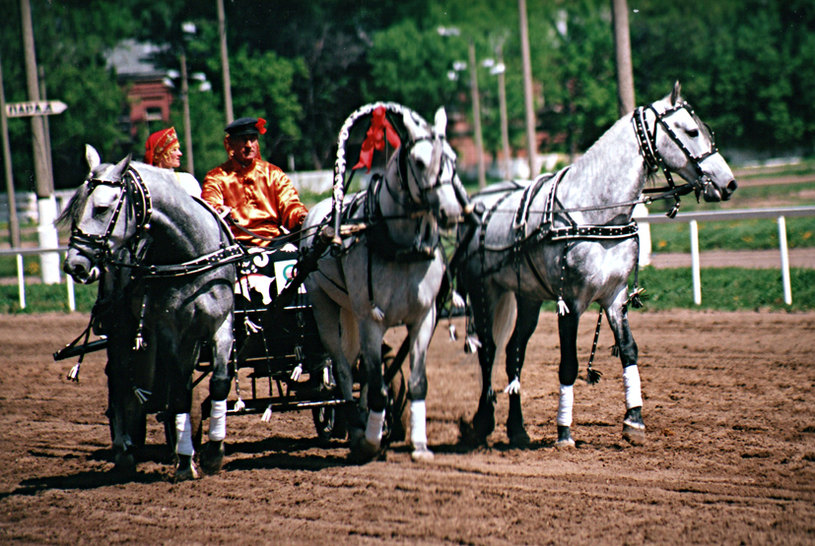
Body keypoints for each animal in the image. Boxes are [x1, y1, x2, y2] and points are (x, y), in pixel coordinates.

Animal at [57, 146, 239, 480]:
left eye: (101, 208)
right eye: (76, 211)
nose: (74, 265)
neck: (191, 255)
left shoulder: (219, 323)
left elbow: (218, 381)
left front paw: (212, 453)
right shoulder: (170, 330)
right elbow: (178, 392)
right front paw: (185, 462)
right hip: (120, 327)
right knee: (118, 378)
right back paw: (125, 449)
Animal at [300, 103, 466, 460]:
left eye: (453, 158)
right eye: (419, 162)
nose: (452, 212)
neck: (400, 247)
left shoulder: (423, 318)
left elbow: (413, 383)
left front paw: (419, 445)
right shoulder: (371, 320)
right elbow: (376, 387)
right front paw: (370, 442)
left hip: (350, 312)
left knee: (359, 367)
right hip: (326, 307)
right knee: (343, 369)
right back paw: (353, 425)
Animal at [460, 81, 740, 446]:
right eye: (691, 131)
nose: (728, 183)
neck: (595, 213)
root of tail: (479, 201)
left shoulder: (615, 297)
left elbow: (629, 350)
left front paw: (634, 421)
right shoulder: (570, 302)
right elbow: (568, 364)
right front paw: (564, 432)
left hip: (528, 297)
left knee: (513, 353)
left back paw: (517, 429)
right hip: (484, 291)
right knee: (488, 350)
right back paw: (483, 422)